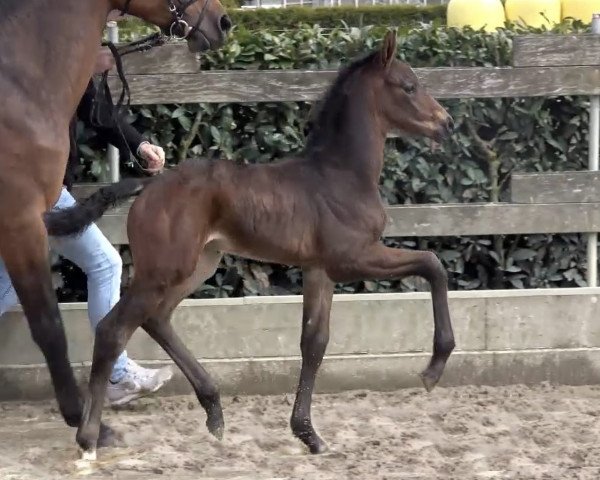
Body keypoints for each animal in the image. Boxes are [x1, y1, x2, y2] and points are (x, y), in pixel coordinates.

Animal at [44, 30, 454, 458]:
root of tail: (148, 184)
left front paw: (308, 433)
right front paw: (433, 368)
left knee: (156, 319)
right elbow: (432, 264)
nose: (447, 124)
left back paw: (213, 410)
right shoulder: (351, 259)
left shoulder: (318, 269)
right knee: (113, 329)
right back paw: (90, 437)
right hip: (165, 269)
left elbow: (314, 342)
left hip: (199, 264)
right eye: (409, 86)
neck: (341, 175)